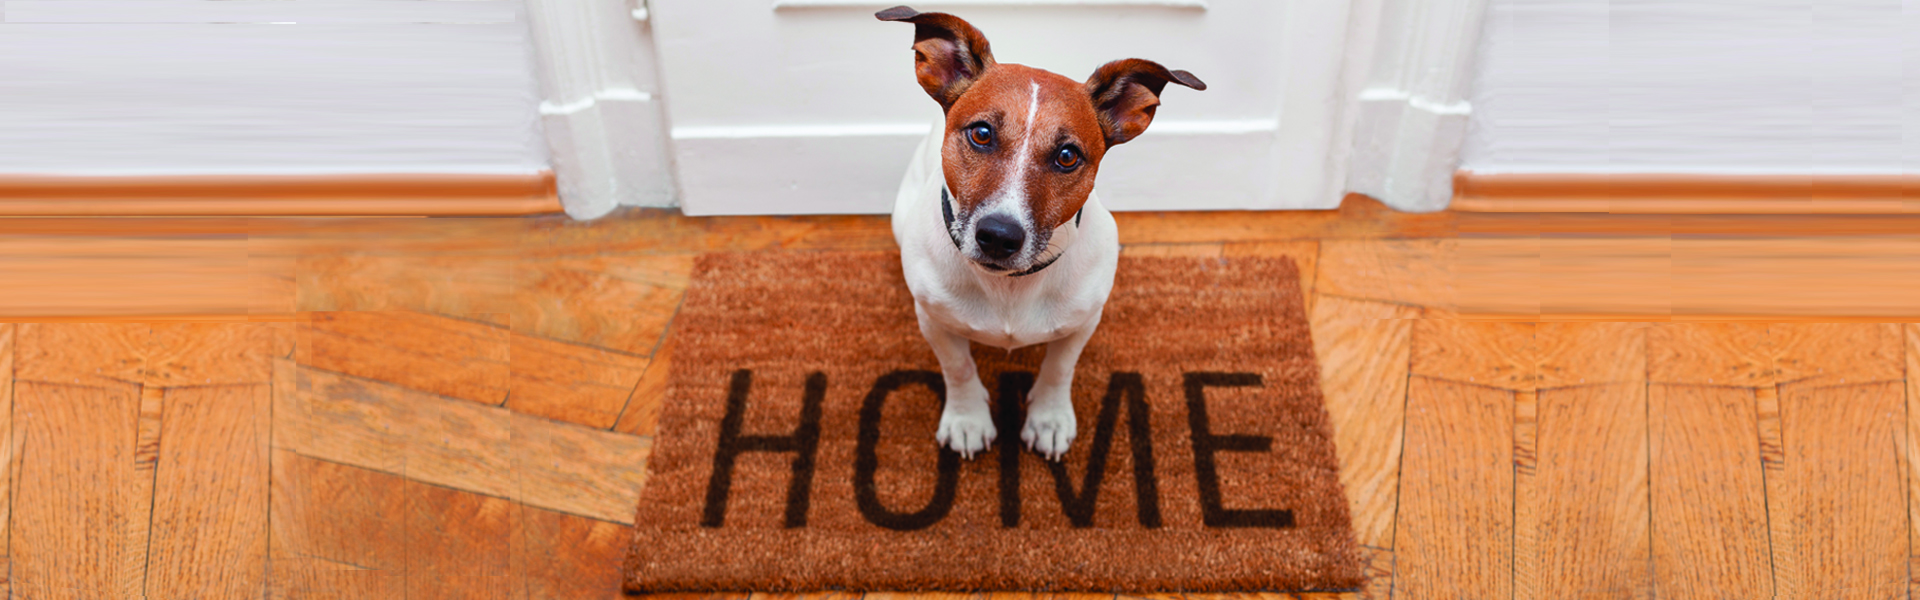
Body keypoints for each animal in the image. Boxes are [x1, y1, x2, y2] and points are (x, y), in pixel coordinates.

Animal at [879, 7, 1198, 461]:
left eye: (1067, 156)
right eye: (981, 133)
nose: (998, 236)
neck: (1009, 287)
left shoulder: (1083, 322)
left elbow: (1059, 369)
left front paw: (1049, 419)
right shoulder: (934, 320)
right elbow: (958, 367)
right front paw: (967, 419)